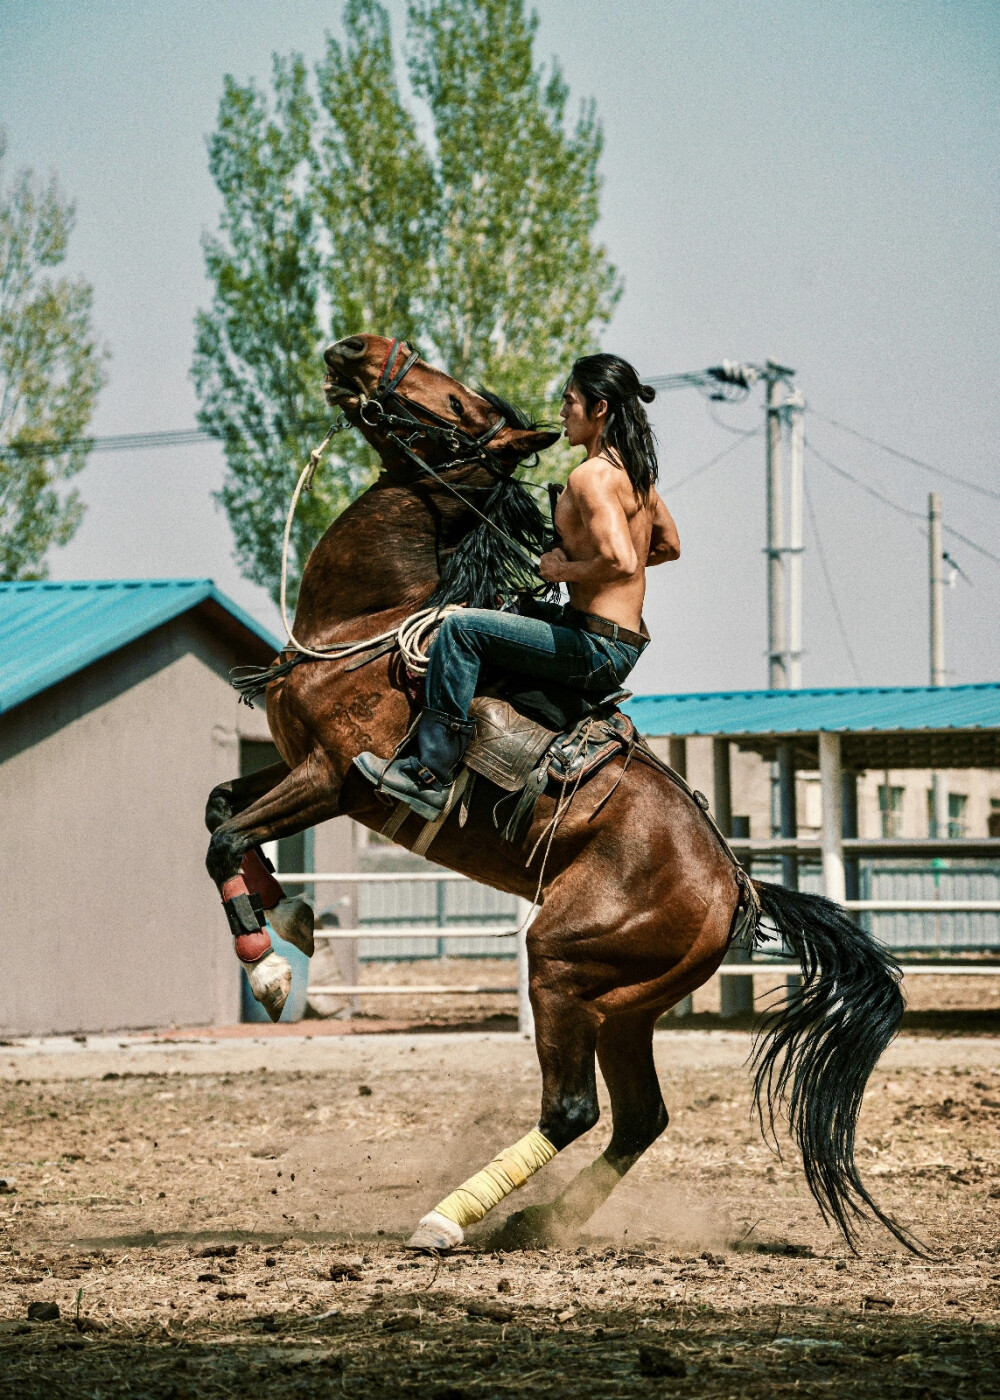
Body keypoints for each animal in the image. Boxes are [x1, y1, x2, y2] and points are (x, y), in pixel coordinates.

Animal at [205, 333, 913, 1254]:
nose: (360, 347)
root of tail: (737, 883)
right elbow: (222, 809)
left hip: (562, 964)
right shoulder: (295, 766)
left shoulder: (333, 777)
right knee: (640, 1118)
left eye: (458, 406)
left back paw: (450, 1219)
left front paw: (268, 973)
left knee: (574, 1108)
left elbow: (222, 838)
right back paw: (538, 1219)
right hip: (624, 1007)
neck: (367, 627)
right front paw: (291, 917)